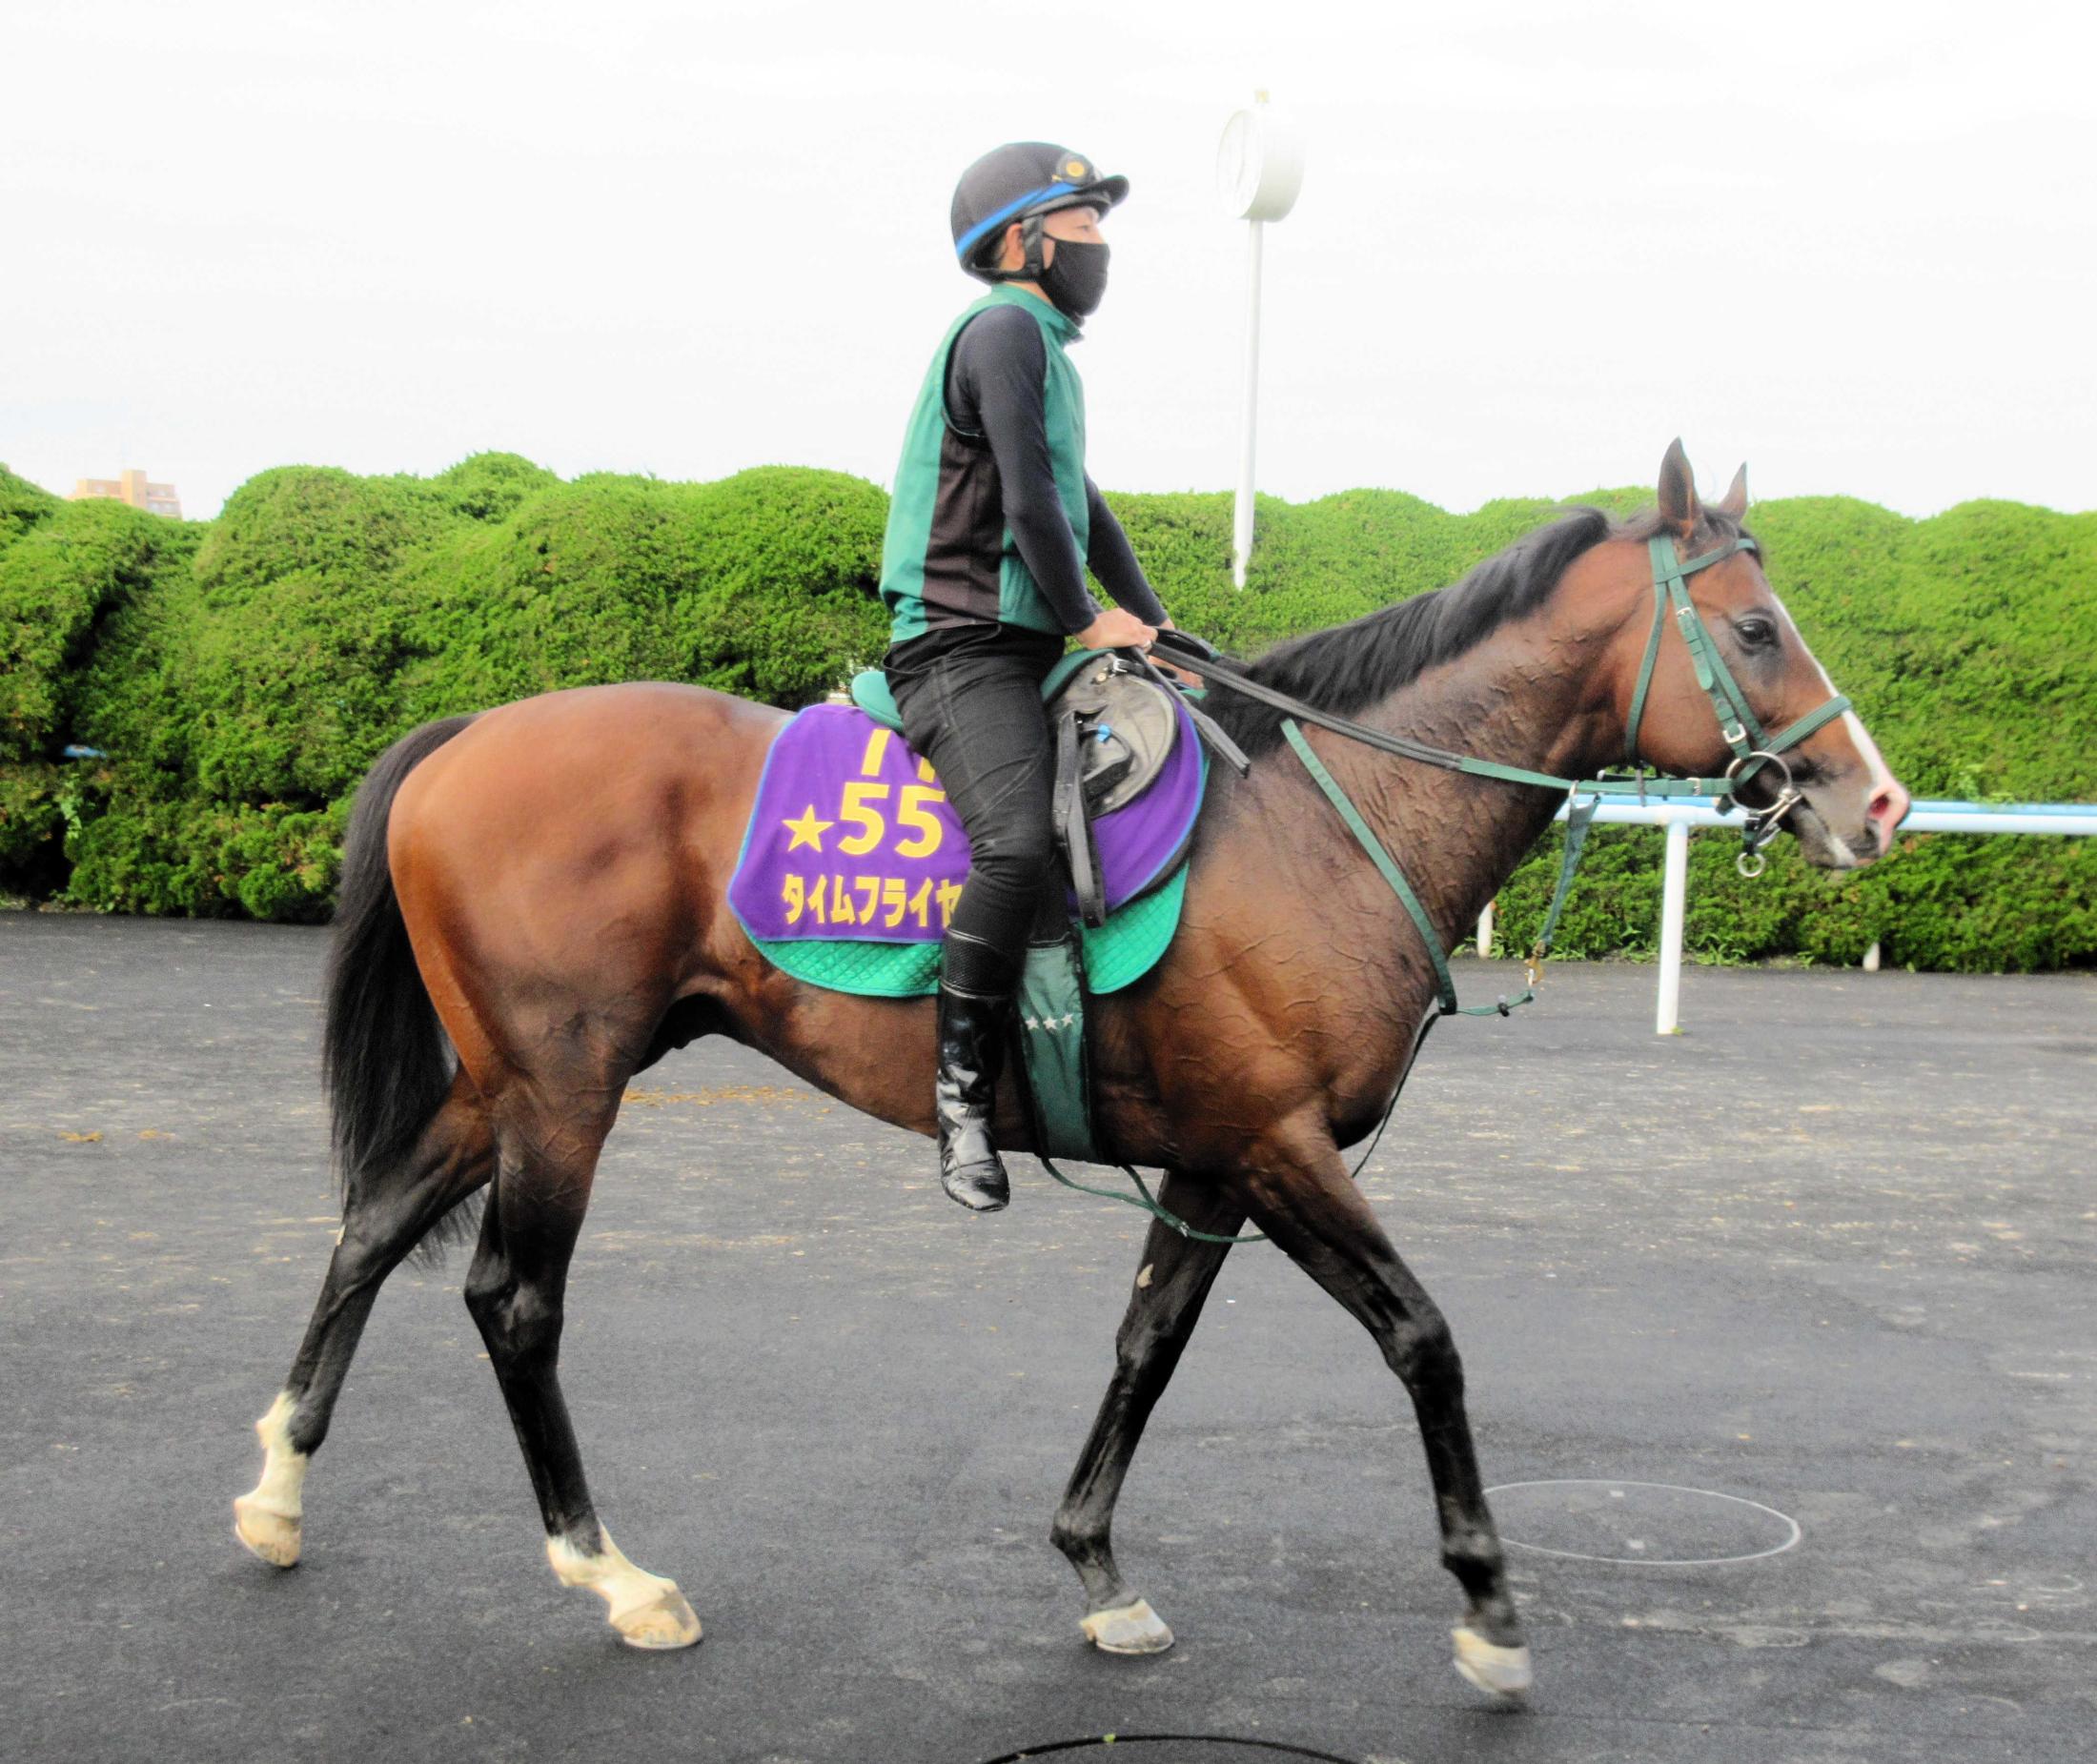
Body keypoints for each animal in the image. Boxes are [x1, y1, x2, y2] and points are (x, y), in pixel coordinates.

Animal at [234, 440, 1921, 1694]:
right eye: (1756, 628)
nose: (1880, 803)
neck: (1319, 819)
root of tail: (463, 737)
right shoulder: (1281, 1148)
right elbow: (1424, 1338)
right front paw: (1490, 1606)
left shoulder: (1213, 1163)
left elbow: (1146, 1348)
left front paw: (1097, 1563)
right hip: (566, 1091)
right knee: (512, 1301)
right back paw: (612, 1571)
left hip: (507, 1082)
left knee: (371, 1224)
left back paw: (278, 1490)